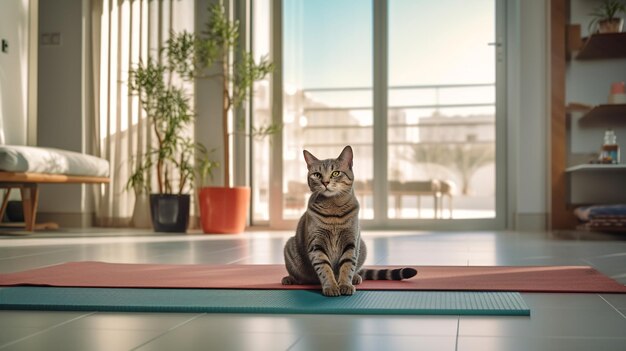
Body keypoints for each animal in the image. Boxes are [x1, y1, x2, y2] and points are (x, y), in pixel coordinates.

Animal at [282, 146, 416, 296]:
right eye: (317, 175)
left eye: (335, 173)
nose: (325, 182)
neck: (333, 209)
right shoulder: (316, 244)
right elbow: (324, 268)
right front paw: (331, 286)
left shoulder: (351, 242)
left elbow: (347, 266)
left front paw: (345, 284)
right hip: (290, 247)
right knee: (300, 276)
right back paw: (290, 279)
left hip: (362, 245)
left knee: (357, 269)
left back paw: (356, 277)